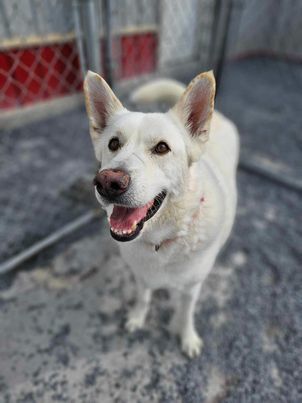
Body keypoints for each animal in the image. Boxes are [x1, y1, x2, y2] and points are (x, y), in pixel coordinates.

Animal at [82, 71, 238, 358]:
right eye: (113, 144)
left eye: (162, 148)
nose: (108, 182)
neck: (161, 242)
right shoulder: (141, 277)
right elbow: (143, 299)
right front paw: (137, 318)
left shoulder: (192, 288)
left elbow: (186, 313)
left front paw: (187, 337)